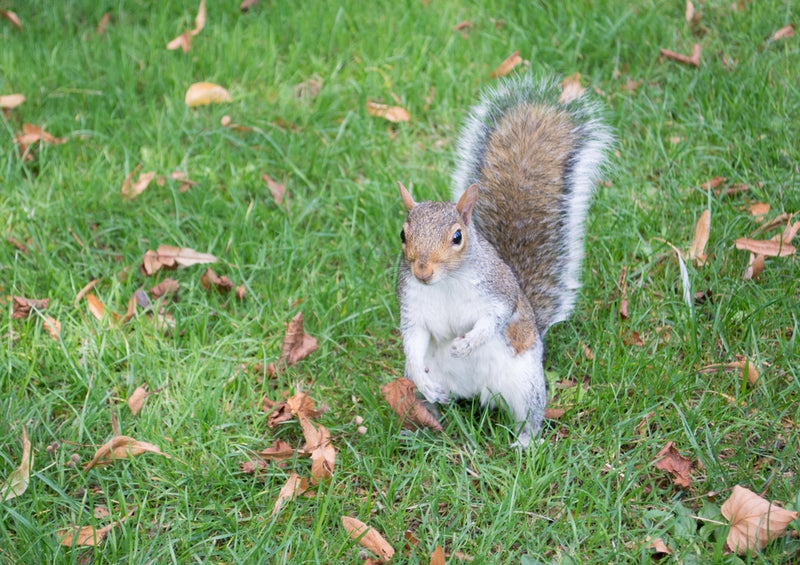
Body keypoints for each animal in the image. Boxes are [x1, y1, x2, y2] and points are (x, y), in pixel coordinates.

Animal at [396, 74, 612, 446]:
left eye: (457, 237)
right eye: (402, 235)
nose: (422, 271)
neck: (446, 283)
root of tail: (474, 392)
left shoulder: (498, 291)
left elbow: (494, 318)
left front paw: (468, 343)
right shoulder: (412, 304)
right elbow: (414, 338)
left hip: (524, 382)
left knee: (530, 414)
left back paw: (524, 442)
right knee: (430, 397)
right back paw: (424, 423)